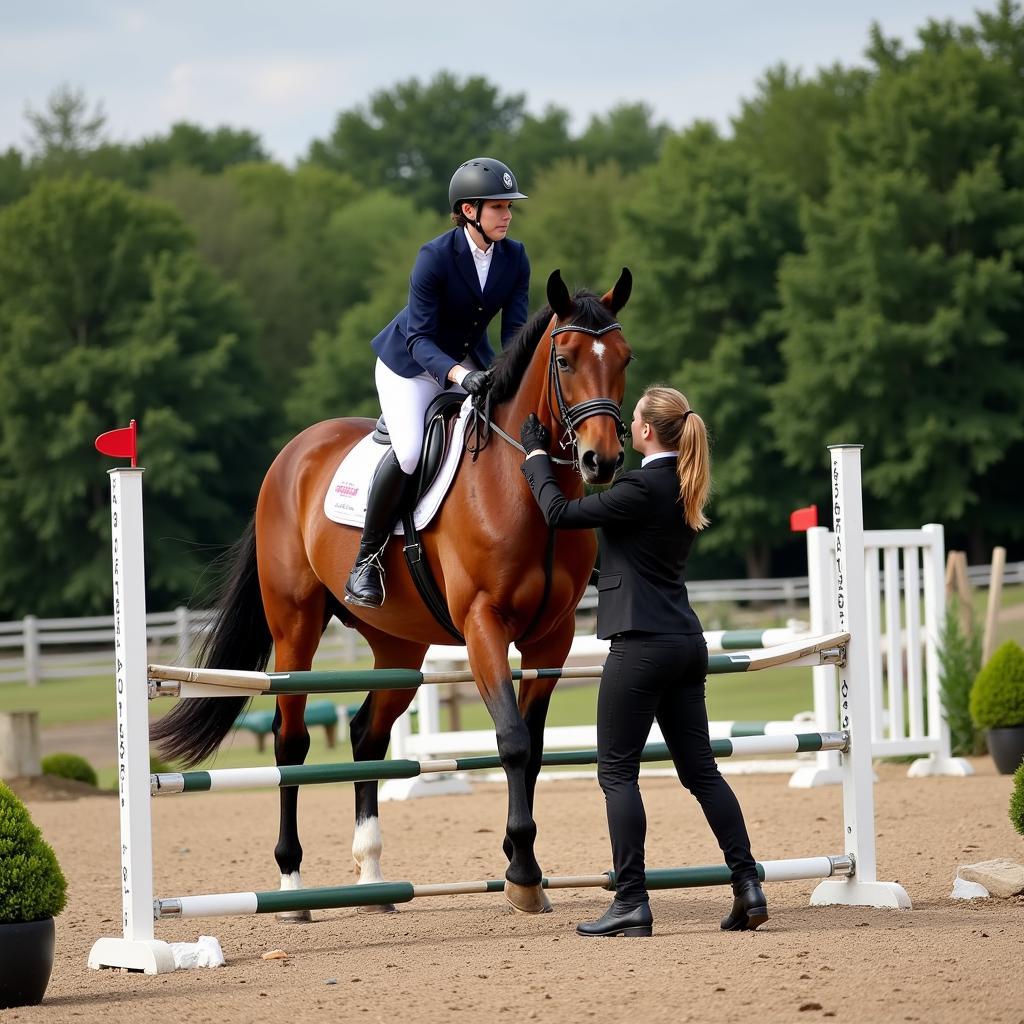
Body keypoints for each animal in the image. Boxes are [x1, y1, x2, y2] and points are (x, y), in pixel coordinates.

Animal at [151, 268, 630, 917]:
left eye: (624, 358)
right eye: (565, 359)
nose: (601, 461)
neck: (527, 483)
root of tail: (290, 455)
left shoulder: (550, 640)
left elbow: (531, 746)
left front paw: (518, 864)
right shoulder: (483, 626)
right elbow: (511, 742)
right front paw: (524, 873)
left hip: (399, 645)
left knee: (366, 735)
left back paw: (373, 877)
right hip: (295, 627)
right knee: (290, 741)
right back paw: (292, 886)